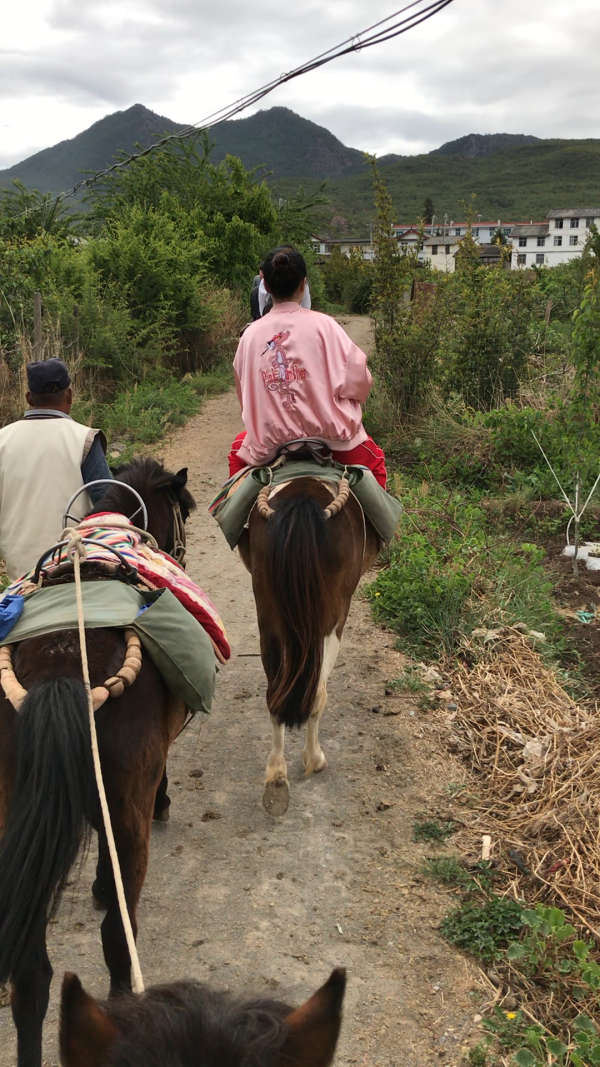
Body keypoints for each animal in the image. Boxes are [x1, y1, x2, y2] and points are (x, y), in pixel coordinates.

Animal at [237, 475, 373, 815]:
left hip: (269, 617)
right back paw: (314, 758)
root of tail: (302, 500)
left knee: (274, 694)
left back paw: (276, 777)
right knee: (316, 693)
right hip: (331, 621)